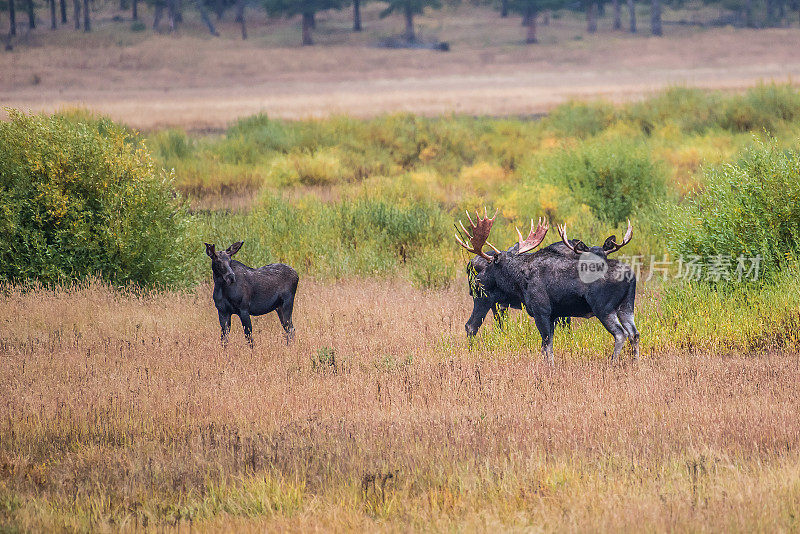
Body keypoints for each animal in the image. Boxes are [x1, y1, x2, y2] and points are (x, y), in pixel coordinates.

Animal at [460, 209, 640, 364]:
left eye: (490, 264)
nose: (477, 280)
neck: (518, 280)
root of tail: (631, 276)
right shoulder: (554, 315)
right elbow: (548, 346)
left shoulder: (542, 312)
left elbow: (546, 347)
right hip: (626, 306)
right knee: (634, 333)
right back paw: (635, 363)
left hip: (603, 307)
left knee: (621, 334)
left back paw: (613, 362)